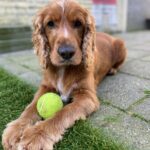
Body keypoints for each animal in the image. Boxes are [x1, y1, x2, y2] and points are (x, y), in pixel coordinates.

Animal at [2, 0, 126, 149]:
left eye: (78, 23)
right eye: (50, 23)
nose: (66, 52)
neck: (64, 69)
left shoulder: (88, 96)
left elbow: (63, 112)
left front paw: (36, 135)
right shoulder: (46, 86)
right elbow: (31, 107)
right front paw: (15, 129)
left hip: (121, 45)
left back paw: (112, 70)